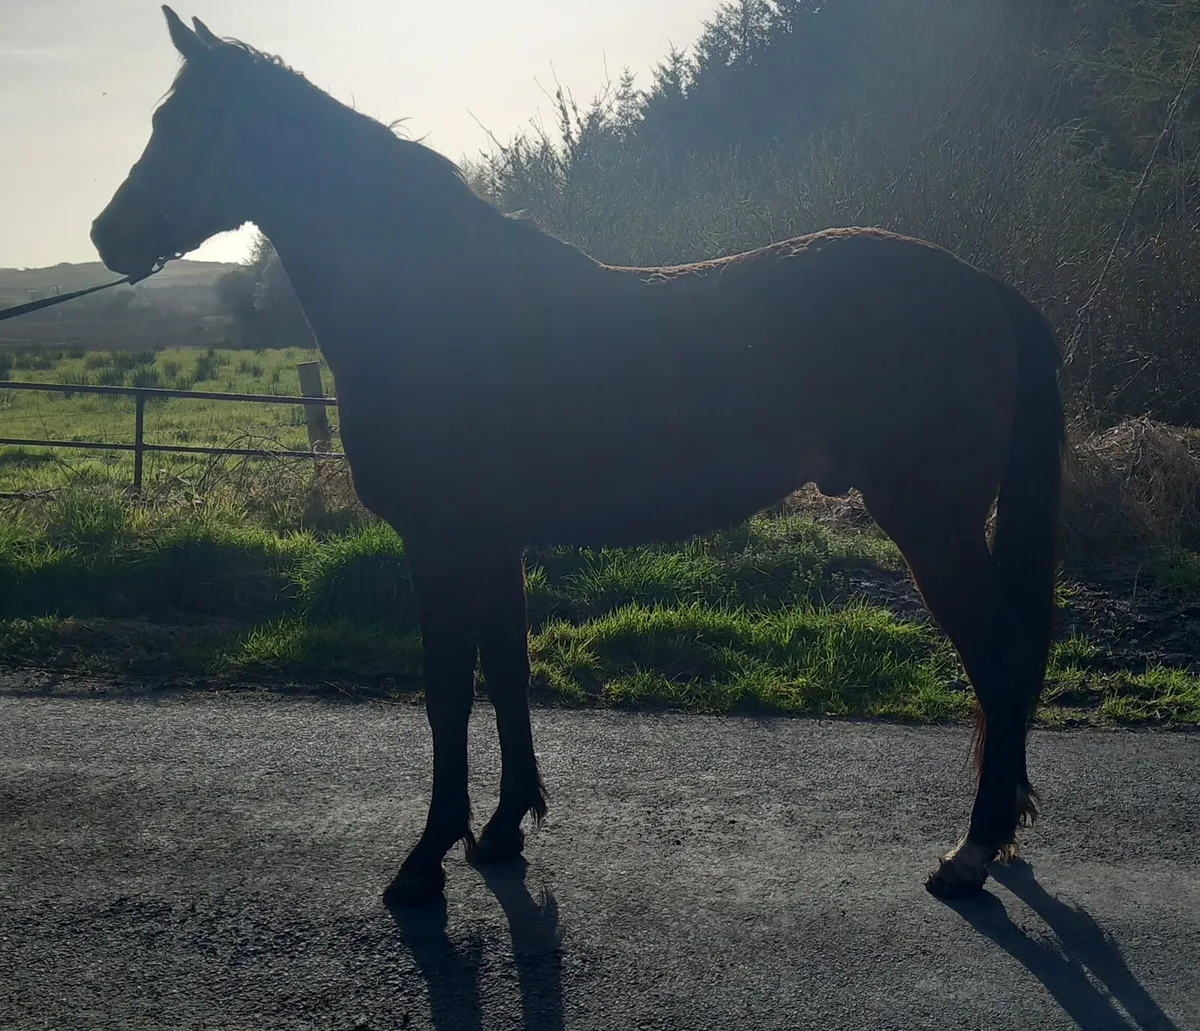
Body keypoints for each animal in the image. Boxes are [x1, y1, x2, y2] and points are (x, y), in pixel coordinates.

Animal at [91, 7, 1065, 907]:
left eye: (185, 124)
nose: (107, 235)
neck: (438, 304)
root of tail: (984, 286)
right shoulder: (493, 544)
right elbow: (508, 674)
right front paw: (500, 830)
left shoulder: (442, 544)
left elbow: (448, 691)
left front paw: (425, 859)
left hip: (931, 522)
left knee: (1002, 660)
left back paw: (970, 854)